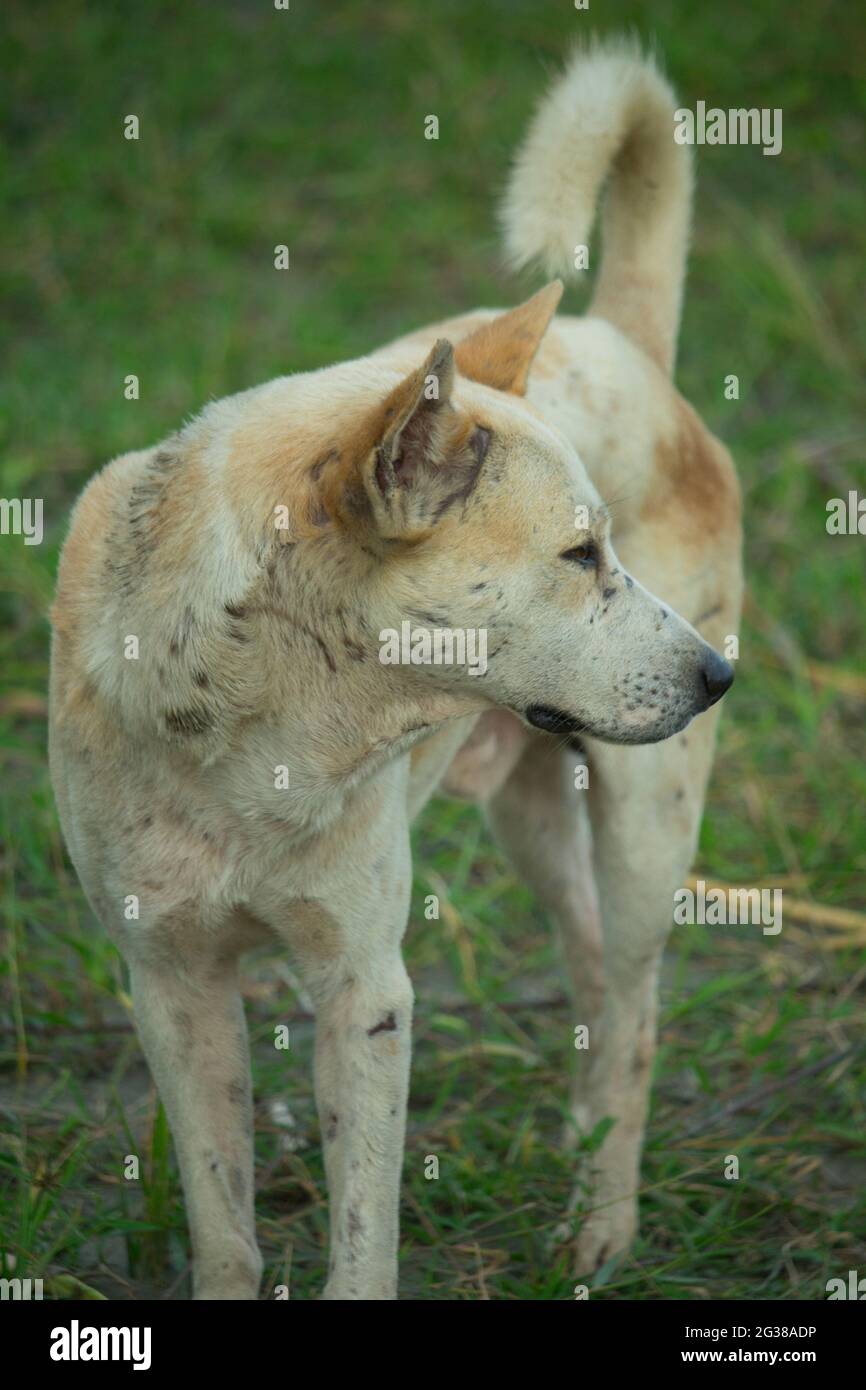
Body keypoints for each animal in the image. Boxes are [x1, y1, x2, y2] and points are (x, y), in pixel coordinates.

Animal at [47, 38, 739, 1295]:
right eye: (578, 555)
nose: (719, 674)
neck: (255, 721)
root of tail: (622, 339)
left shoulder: (366, 990)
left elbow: (362, 1236)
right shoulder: (169, 982)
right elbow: (222, 1228)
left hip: (645, 830)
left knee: (634, 1005)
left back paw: (601, 1222)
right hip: (529, 809)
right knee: (586, 965)